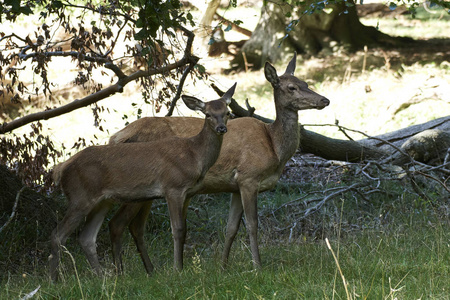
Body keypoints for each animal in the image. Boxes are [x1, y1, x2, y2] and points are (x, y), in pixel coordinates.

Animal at [49, 83, 236, 280]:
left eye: (227, 112)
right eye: (207, 114)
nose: (221, 128)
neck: (194, 154)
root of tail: (61, 168)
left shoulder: (188, 193)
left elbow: (184, 229)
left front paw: (181, 266)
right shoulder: (173, 186)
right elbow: (177, 229)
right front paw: (177, 269)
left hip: (102, 201)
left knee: (86, 237)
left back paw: (102, 278)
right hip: (80, 196)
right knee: (58, 235)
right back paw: (54, 280)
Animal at [106, 52, 330, 274]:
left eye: (305, 82)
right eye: (291, 87)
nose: (324, 100)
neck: (274, 146)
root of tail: (113, 138)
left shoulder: (235, 186)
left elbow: (231, 228)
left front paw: (223, 266)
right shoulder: (248, 177)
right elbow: (252, 224)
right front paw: (257, 266)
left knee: (135, 226)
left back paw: (149, 271)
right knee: (118, 223)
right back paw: (123, 272)